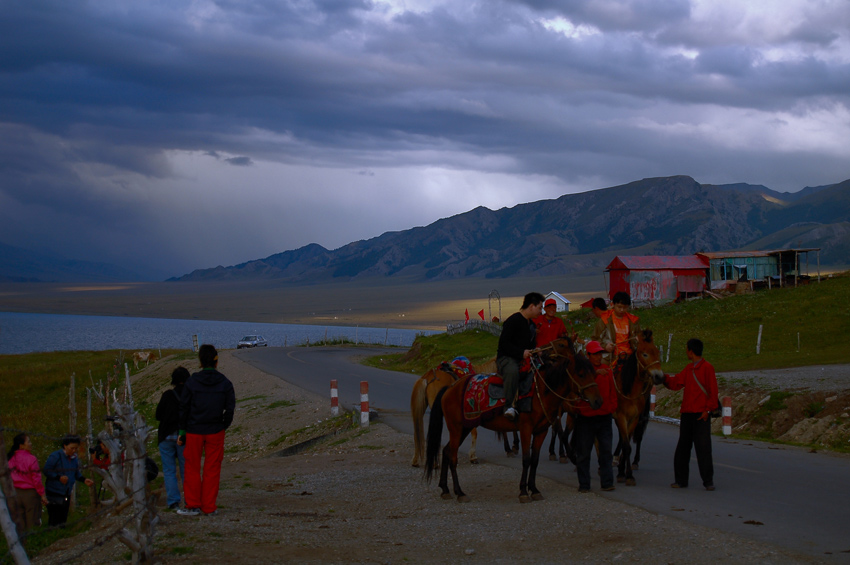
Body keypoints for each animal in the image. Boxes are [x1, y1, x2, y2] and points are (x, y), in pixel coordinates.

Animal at [422, 338, 596, 504]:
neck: (541, 390)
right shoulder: (526, 429)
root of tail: (450, 388)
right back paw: (460, 492)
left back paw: (445, 489)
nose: (595, 399)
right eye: (581, 374)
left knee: (446, 451)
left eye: (592, 373)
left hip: (464, 428)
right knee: (452, 457)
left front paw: (534, 489)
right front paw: (524, 492)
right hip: (456, 428)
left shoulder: (541, 430)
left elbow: (535, 460)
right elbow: (526, 459)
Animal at [608, 330, 664, 484]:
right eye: (644, 354)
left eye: (657, 352)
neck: (629, 389)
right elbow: (626, 444)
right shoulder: (620, 416)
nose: (659, 376)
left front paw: (625, 473)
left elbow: (628, 445)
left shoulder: (634, 417)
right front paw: (623, 473)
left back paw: (630, 462)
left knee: (634, 437)